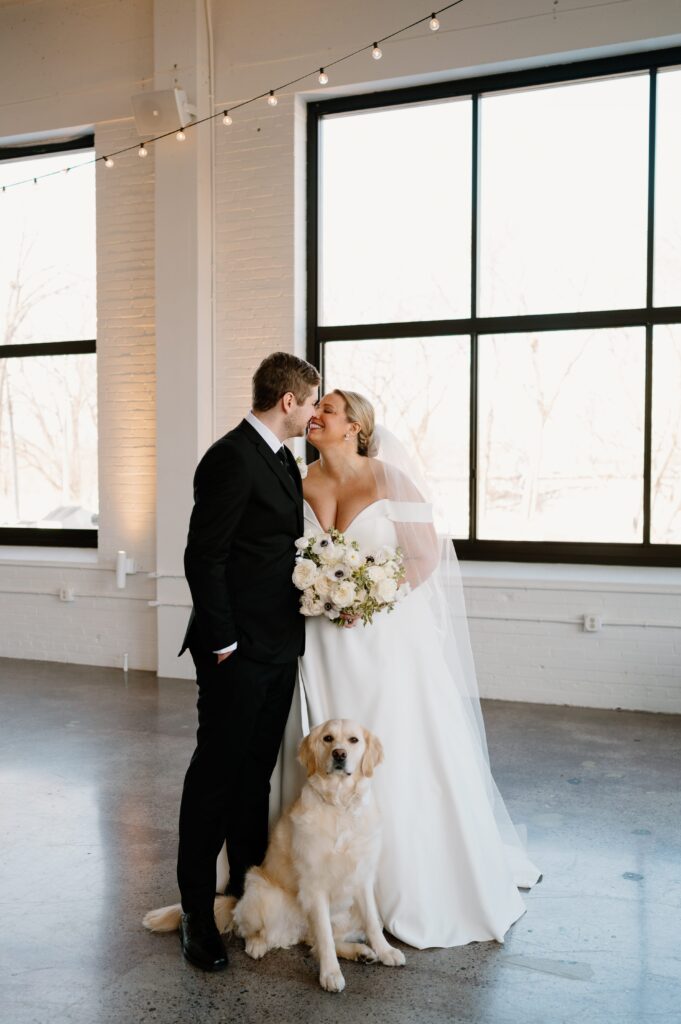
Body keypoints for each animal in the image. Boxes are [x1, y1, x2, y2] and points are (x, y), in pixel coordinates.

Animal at [142, 720, 403, 991]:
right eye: (328, 738)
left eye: (353, 740)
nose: (339, 754)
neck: (339, 805)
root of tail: (237, 898)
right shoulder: (314, 884)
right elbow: (324, 936)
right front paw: (330, 973)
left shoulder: (363, 877)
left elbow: (370, 922)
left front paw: (385, 951)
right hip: (262, 890)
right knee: (259, 932)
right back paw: (256, 945)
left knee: (315, 941)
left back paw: (362, 952)